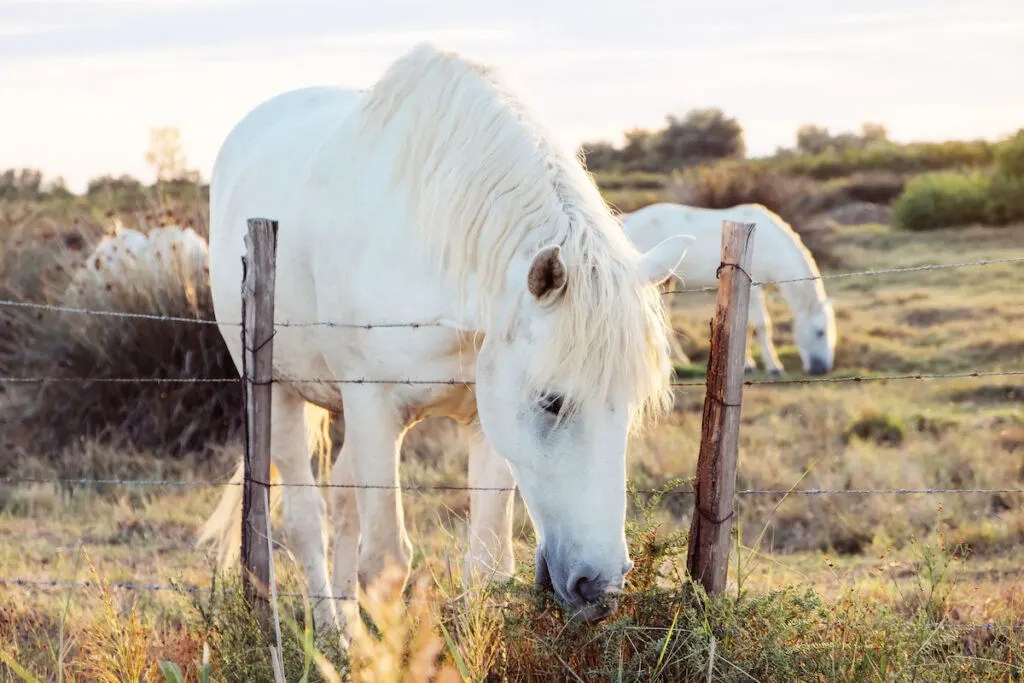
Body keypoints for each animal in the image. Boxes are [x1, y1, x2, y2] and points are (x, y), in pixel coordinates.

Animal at [618, 200, 835, 376]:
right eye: (820, 332)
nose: (822, 370)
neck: (770, 243)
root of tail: (627, 220)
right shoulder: (754, 289)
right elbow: (761, 325)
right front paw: (774, 367)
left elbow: (746, 325)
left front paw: (747, 364)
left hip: (664, 282)